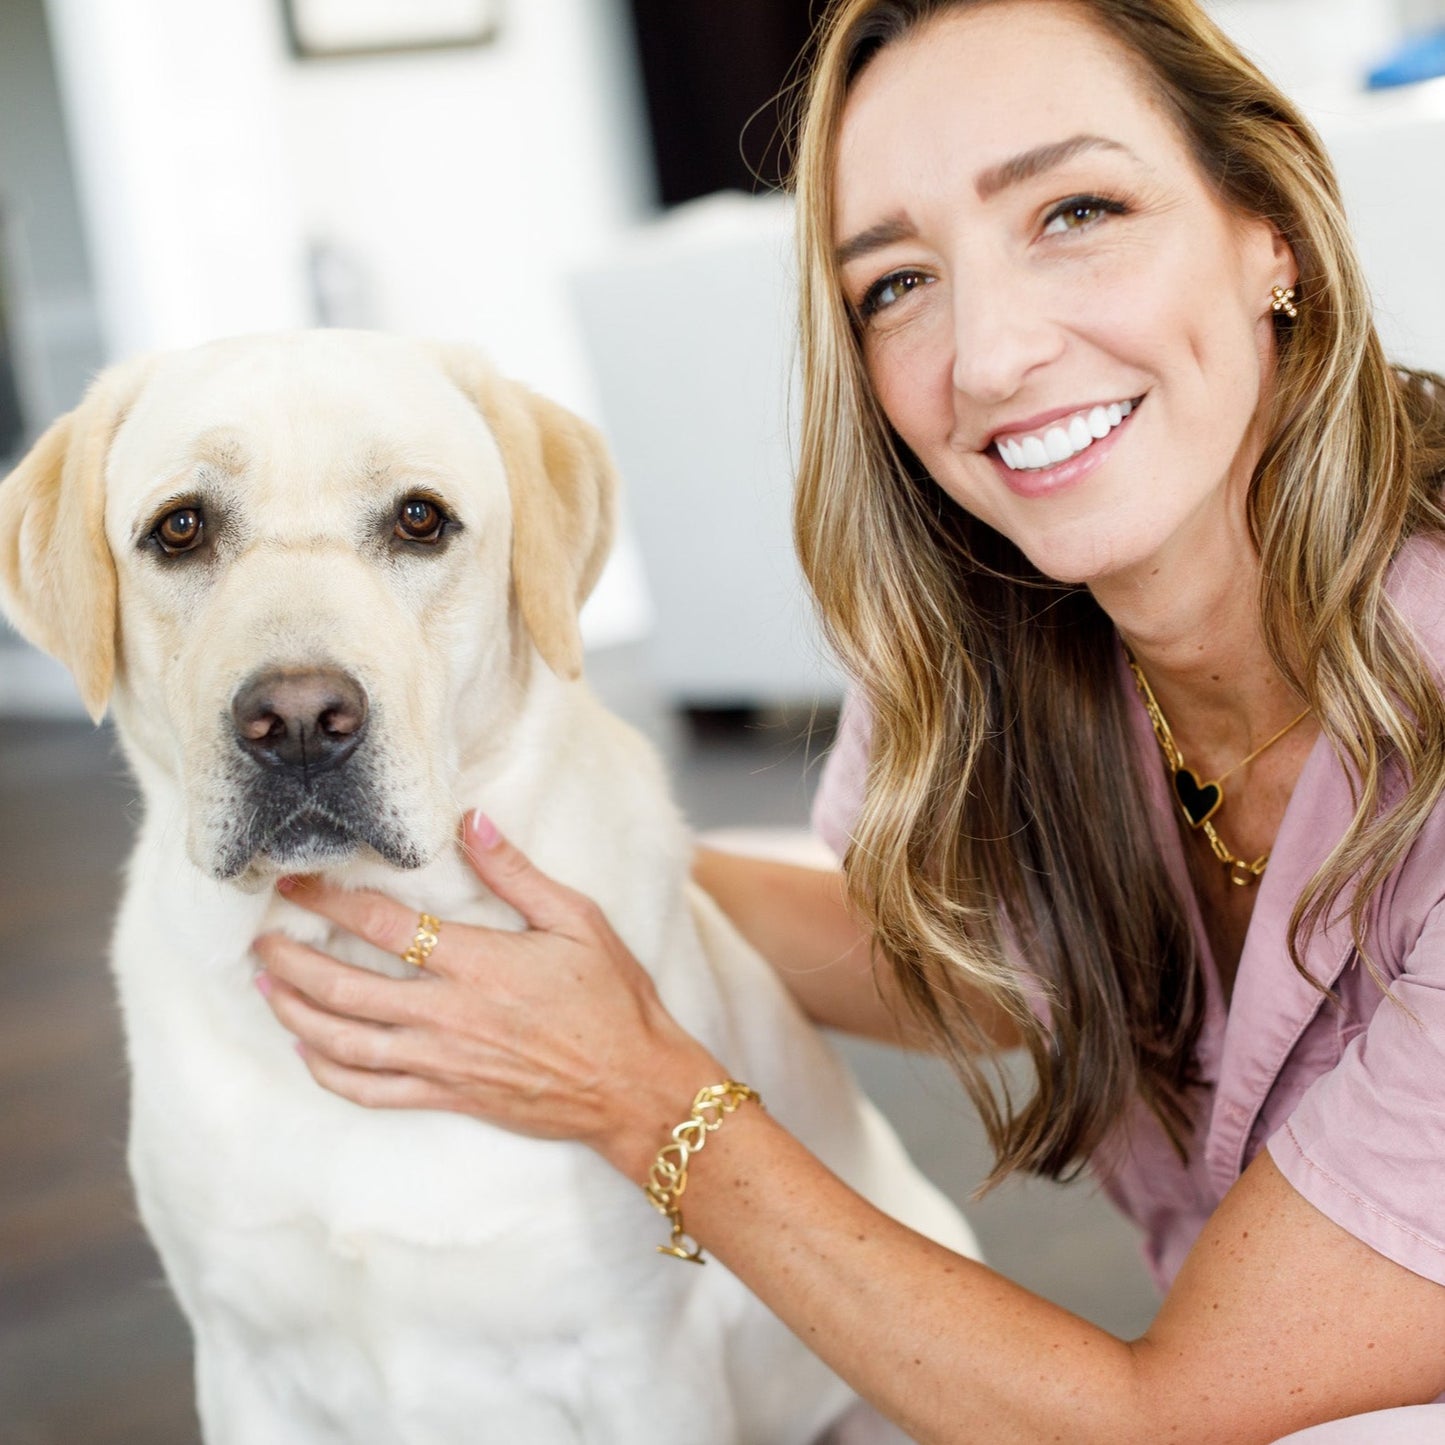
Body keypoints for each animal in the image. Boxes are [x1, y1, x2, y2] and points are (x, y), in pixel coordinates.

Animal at [0, 332, 976, 1445]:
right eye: (179, 528)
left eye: (420, 519)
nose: (299, 722)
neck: (358, 939)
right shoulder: (246, 1367)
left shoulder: (641, 1363)